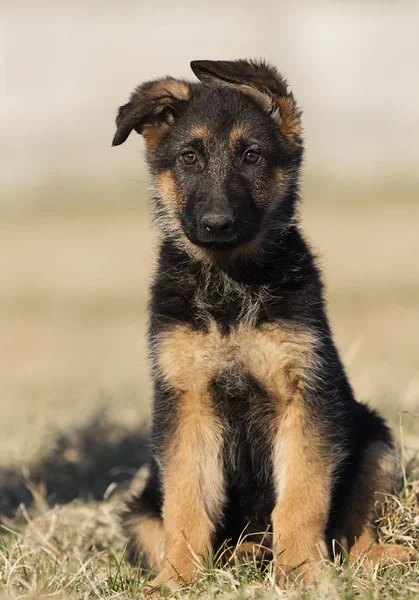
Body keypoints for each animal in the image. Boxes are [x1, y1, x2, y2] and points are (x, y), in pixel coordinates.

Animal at [113, 58, 412, 584]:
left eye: (251, 156)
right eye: (189, 157)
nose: (216, 224)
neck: (230, 283)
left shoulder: (305, 398)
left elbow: (302, 498)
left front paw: (302, 570)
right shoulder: (187, 404)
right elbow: (186, 504)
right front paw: (178, 578)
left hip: (374, 442)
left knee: (354, 527)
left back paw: (374, 557)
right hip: (140, 511)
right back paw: (240, 557)